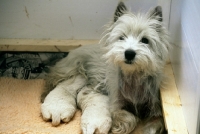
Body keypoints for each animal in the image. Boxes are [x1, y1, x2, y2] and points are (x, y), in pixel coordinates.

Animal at [40, 2, 170, 134]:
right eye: (121, 37)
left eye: (145, 40)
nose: (129, 53)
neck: (133, 76)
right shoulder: (115, 106)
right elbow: (129, 118)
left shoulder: (156, 110)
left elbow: (154, 124)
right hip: (68, 69)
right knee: (50, 79)